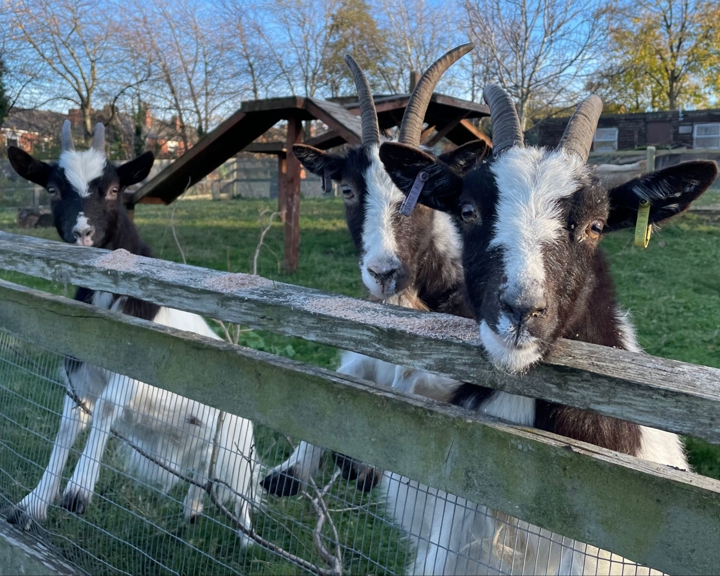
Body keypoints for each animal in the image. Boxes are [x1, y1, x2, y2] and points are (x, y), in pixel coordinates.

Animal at [6, 122, 256, 543]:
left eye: (112, 190)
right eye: (53, 189)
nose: (83, 232)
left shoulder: (137, 358)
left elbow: (106, 405)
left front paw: (78, 491)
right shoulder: (79, 361)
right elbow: (68, 422)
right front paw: (32, 505)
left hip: (236, 438)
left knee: (239, 484)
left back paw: (246, 535)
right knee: (204, 469)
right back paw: (192, 509)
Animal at [261, 45, 489, 499]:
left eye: (422, 195)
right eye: (348, 190)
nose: (383, 272)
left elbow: (411, 388)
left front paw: (360, 465)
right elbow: (343, 378)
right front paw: (288, 472)